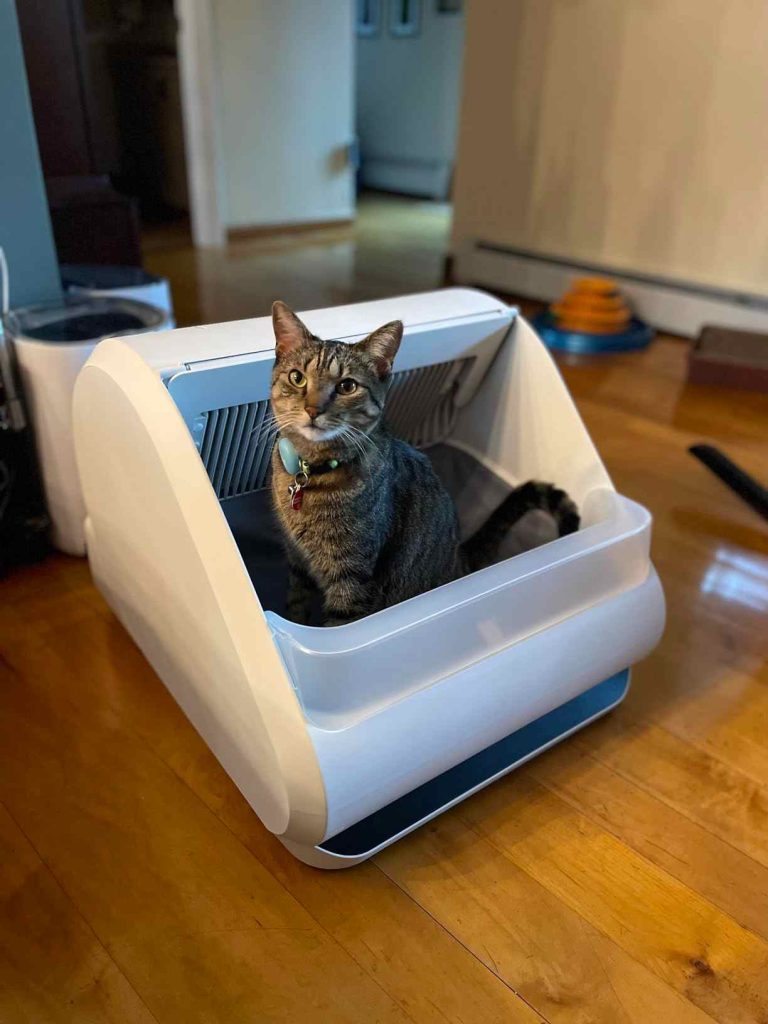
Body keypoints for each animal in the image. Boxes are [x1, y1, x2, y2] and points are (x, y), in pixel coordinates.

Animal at [270, 299, 577, 626]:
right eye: (297, 378)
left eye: (347, 386)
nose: (313, 410)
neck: (309, 471)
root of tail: (459, 558)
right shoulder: (297, 562)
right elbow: (296, 605)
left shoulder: (352, 582)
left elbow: (339, 622)